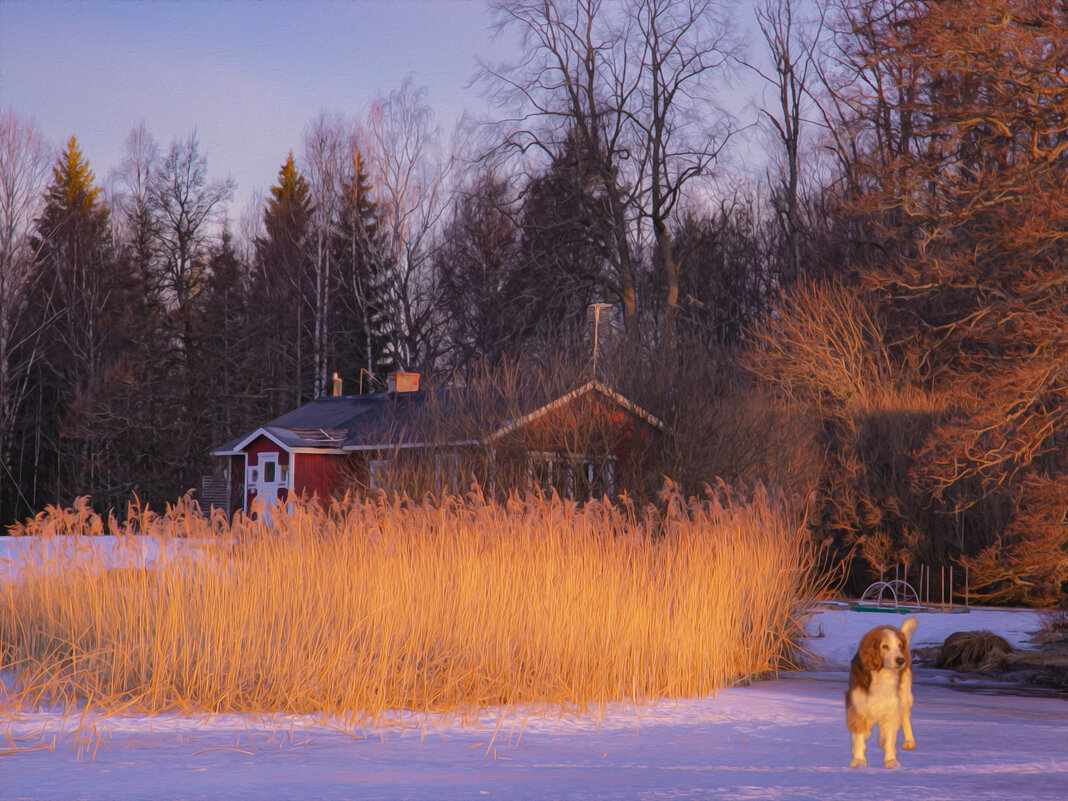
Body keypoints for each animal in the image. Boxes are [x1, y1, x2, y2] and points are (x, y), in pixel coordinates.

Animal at [841, 619, 918, 768]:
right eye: (885, 646)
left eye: (900, 645)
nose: (901, 660)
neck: (881, 674)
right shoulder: (858, 706)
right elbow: (859, 734)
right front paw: (859, 760)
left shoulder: (892, 707)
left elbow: (890, 735)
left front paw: (890, 760)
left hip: (905, 694)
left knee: (905, 716)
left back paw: (909, 741)